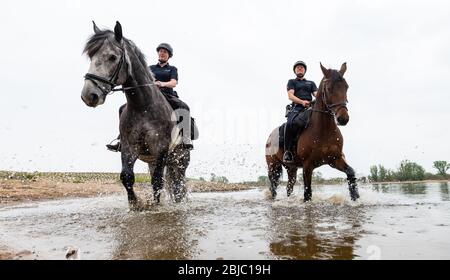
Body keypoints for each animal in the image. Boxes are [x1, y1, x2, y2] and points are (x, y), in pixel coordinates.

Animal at [81, 21, 190, 208]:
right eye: (91, 56)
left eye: (112, 57)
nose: (89, 95)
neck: (143, 106)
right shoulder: (128, 147)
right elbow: (127, 176)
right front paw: (135, 204)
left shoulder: (160, 149)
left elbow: (157, 182)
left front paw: (155, 207)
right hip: (156, 160)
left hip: (179, 160)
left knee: (178, 184)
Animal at [266, 63, 360, 201]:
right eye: (329, 88)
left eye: (346, 87)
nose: (343, 119)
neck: (324, 130)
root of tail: (270, 137)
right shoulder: (307, 165)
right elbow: (308, 193)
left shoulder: (335, 160)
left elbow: (351, 172)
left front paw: (355, 196)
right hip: (273, 166)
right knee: (273, 187)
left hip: (291, 168)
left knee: (289, 187)